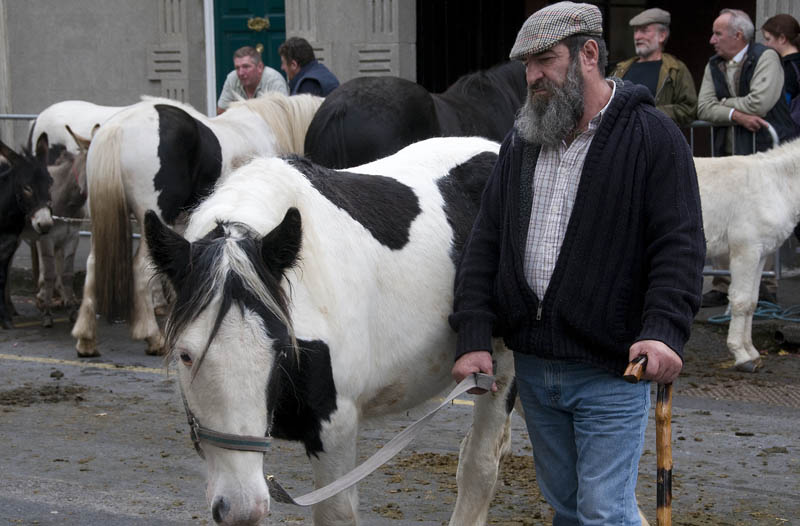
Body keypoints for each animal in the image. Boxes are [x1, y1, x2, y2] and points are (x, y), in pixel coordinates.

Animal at [0, 134, 54, 328]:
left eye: (50, 182)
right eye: (26, 187)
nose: (45, 224)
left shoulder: (8, 246)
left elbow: (2, 278)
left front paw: (4, 319)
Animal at [144, 138, 520, 524]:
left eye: (281, 349)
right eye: (185, 355)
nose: (242, 507)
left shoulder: (335, 428)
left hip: (499, 370)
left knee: (479, 466)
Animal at [692, 137, 800, 372]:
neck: (775, 184)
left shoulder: (760, 254)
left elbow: (752, 301)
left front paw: (752, 352)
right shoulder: (746, 251)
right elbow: (740, 301)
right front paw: (741, 356)